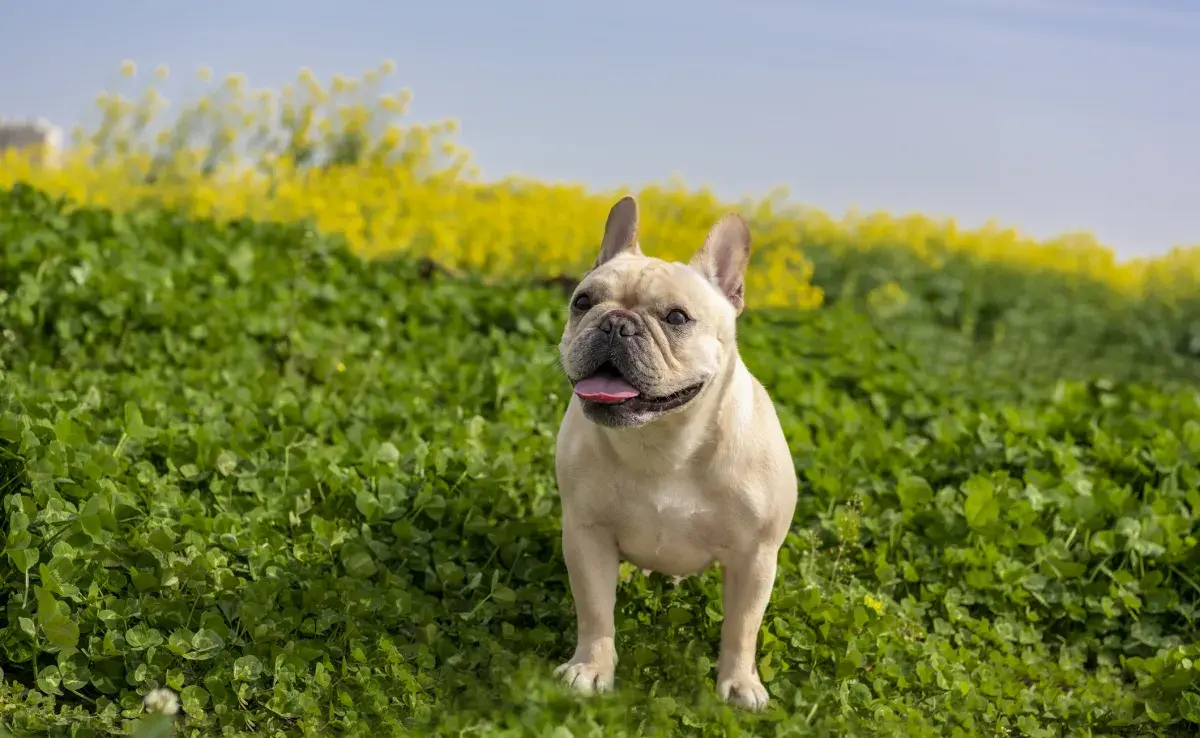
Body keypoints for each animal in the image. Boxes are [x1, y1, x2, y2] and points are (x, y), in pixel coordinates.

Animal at [556, 194, 801, 710]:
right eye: (582, 302)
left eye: (676, 318)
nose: (615, 323)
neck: (664, 442)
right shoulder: (586, 536)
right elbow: (595, 612)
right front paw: (591, 668)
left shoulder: (755, 557)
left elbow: (742, 628)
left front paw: (739, 683)